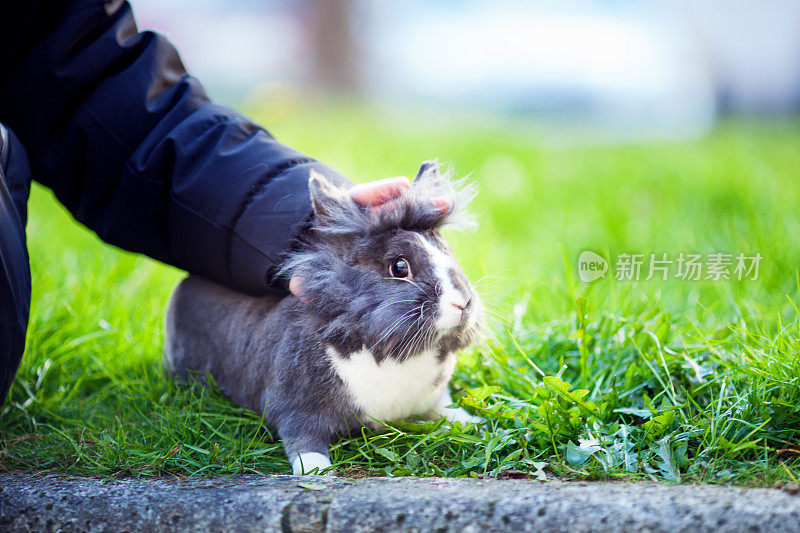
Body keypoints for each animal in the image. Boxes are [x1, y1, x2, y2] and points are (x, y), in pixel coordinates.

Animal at [164, 159, 482, 474]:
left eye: (447, 251)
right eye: (399, 267)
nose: (462, 303)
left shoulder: (434, 397)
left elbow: (444, 406)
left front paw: (472, 422)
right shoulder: (294, 407)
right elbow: (302, 439)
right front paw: (316, 472)